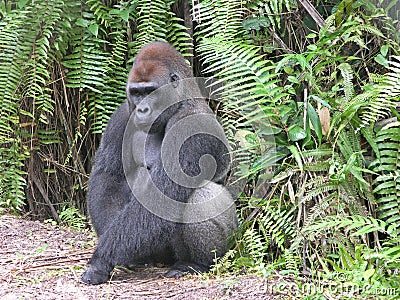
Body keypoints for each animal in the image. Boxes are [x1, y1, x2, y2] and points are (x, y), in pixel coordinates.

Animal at [81, 41, 238, 284]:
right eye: (137, 93)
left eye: (151, 91)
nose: (142, 109)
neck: (181, 101)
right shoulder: (122, 114)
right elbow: (109, 176)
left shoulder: (191, 126)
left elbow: (163, 196)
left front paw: (101, 259)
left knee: (199, 196)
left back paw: (195, 263)